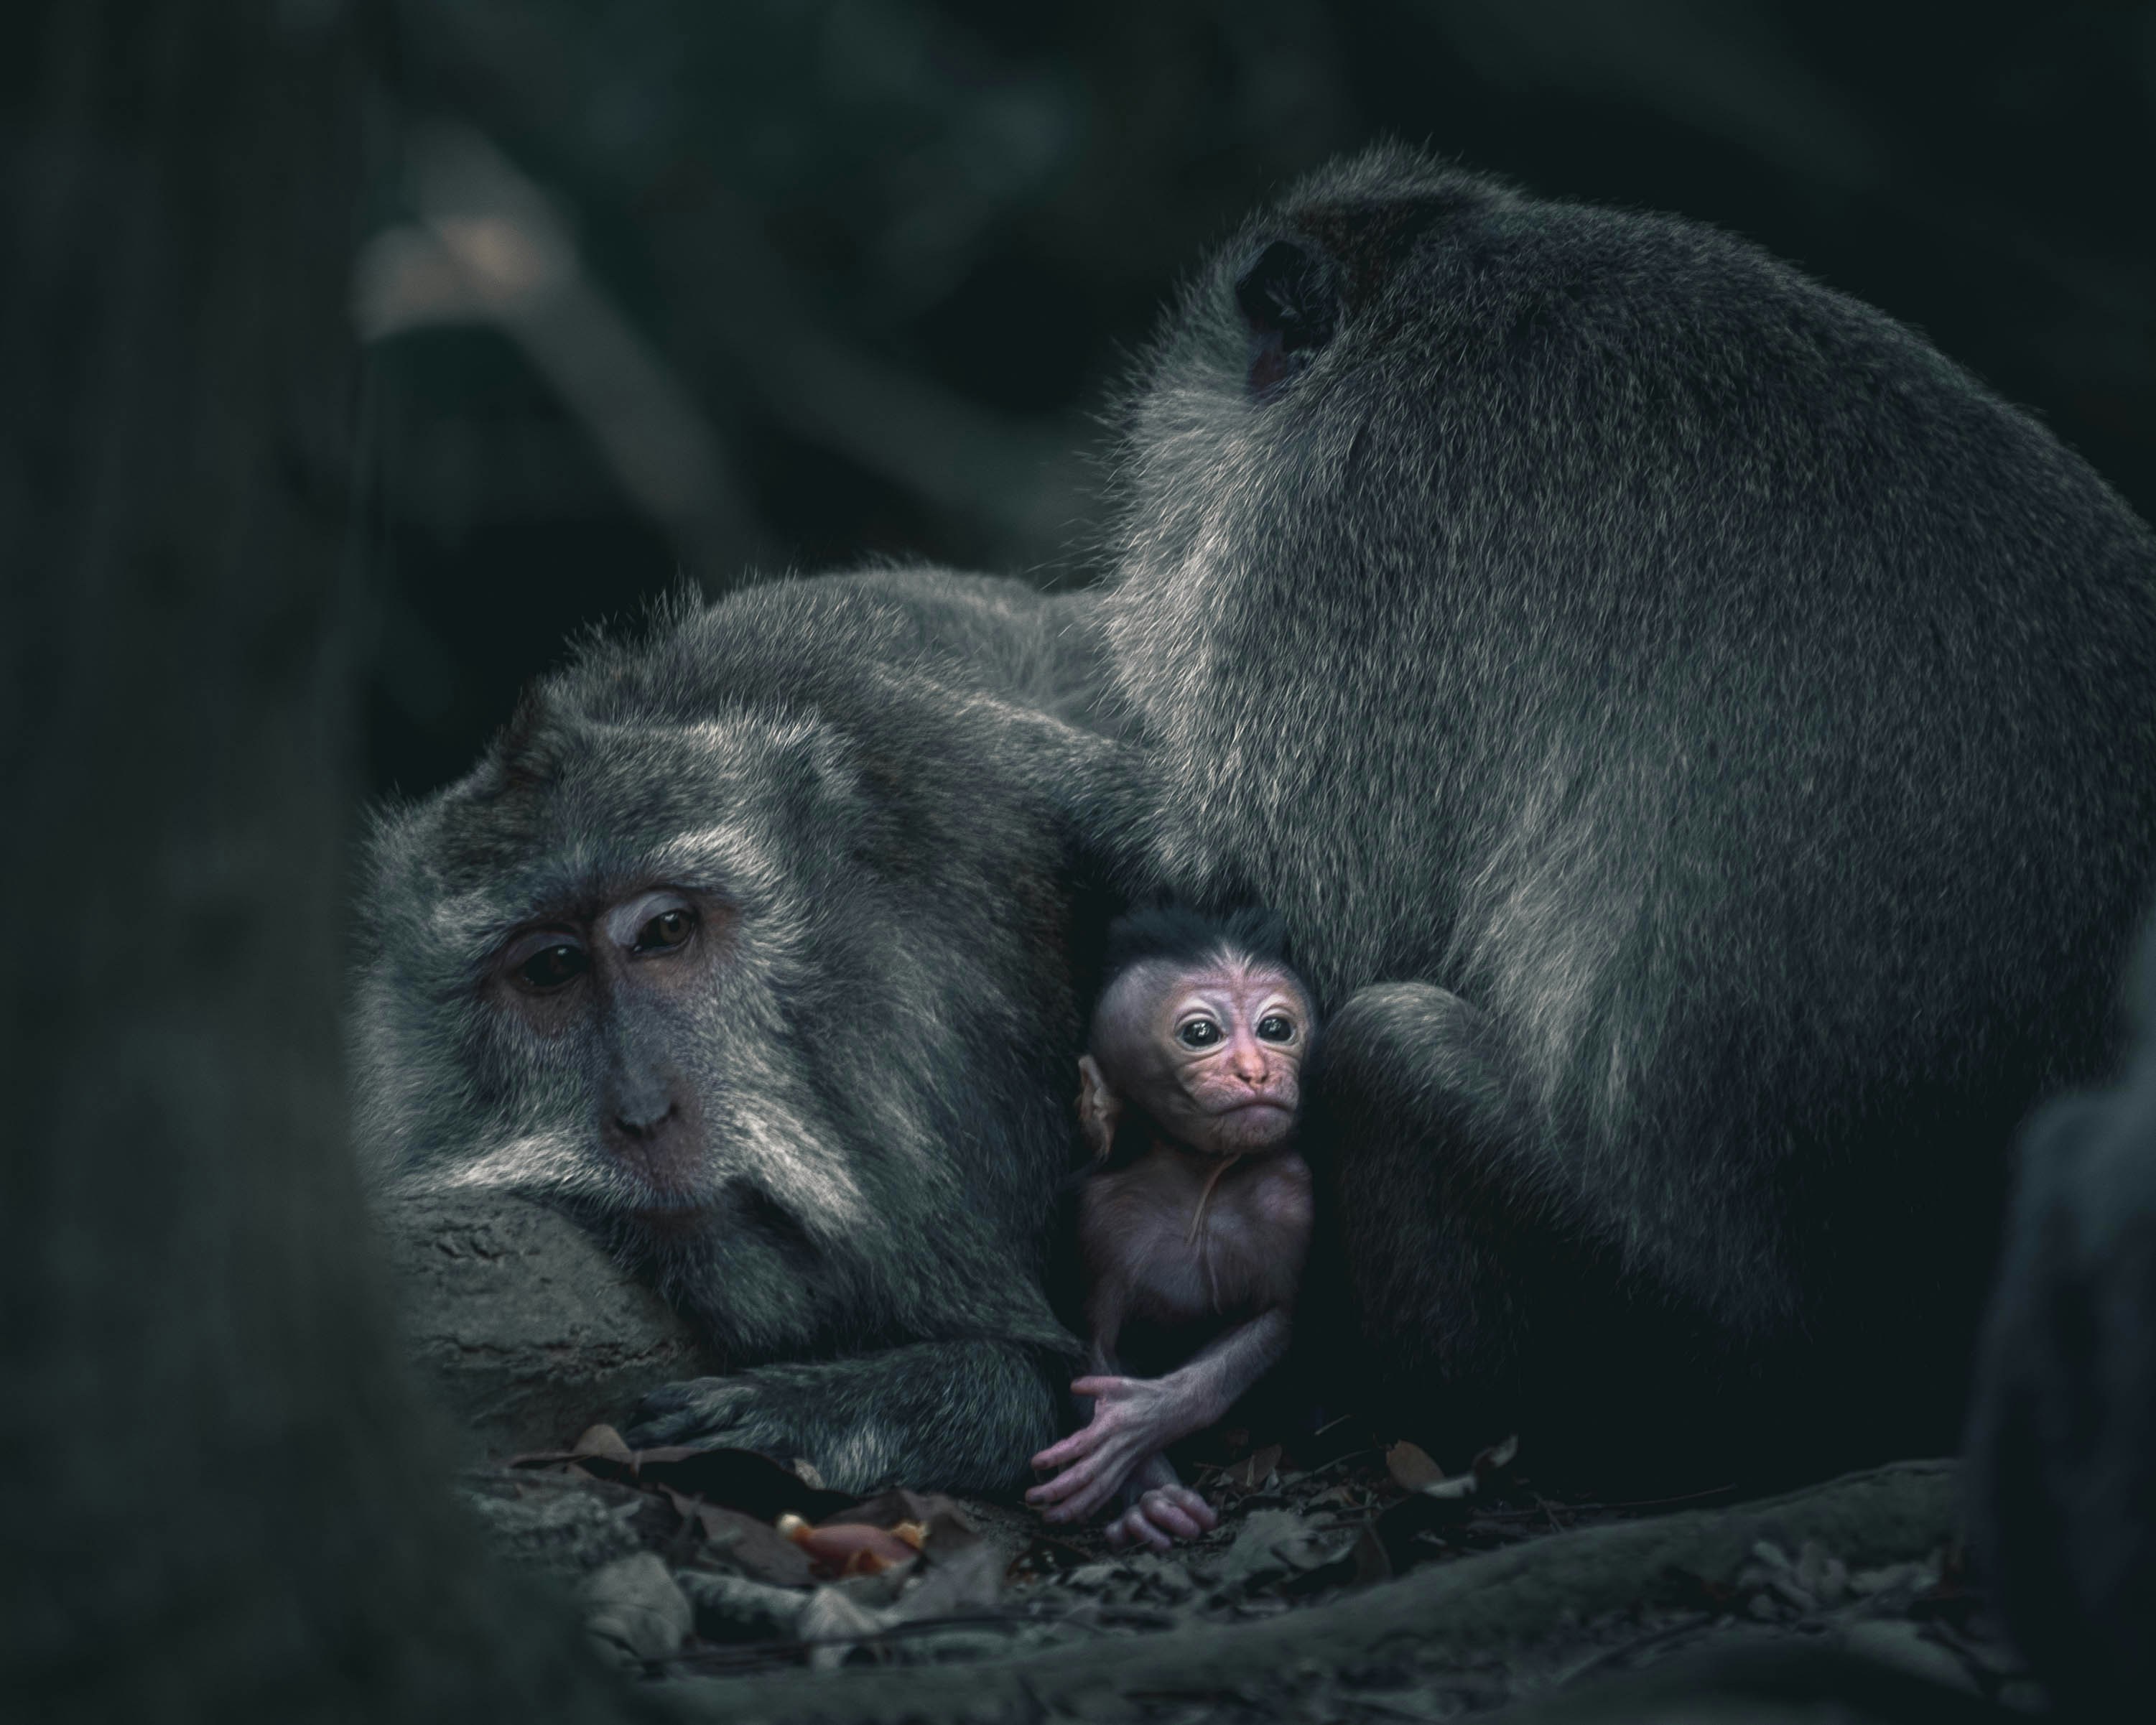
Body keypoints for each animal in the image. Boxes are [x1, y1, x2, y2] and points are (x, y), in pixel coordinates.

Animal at [1025, 907, 1314, 1550]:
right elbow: (1094, 1347)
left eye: (1276, 1028)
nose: (1256, 1071)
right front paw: (1151, 1501)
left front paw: (1143, 1419)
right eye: (1202, 1035)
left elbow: (1279, 1317)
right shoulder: (1099, 1218)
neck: (1199, 1183)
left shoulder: (1290, 1198)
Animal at [1095, 144, 2156, 1484]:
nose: (1143, 540)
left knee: (1388, 1050)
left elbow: (1288, 916)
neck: (1418, 287)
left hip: (1673, 1331)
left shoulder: (1325, 537)